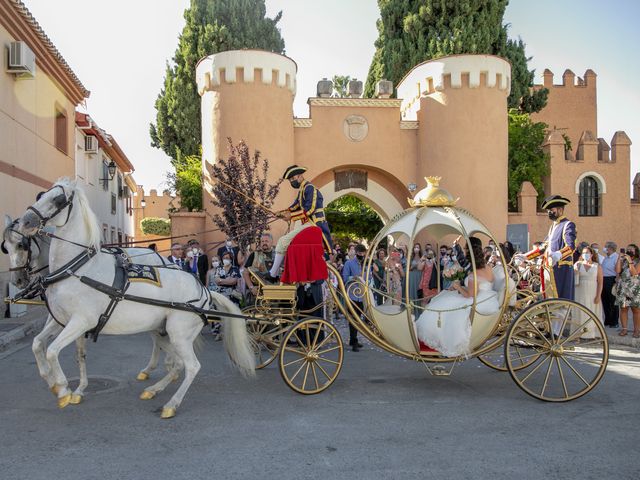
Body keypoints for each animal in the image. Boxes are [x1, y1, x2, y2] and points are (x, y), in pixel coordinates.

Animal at [2, 216, 179, 404]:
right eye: (5, 247)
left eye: (21, 245)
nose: (17, 280)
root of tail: (164, 259)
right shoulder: (60, 317)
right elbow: (42, 344)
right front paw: (64, 385)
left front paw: (70, 387)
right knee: (157, 339)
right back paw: (153, 368)